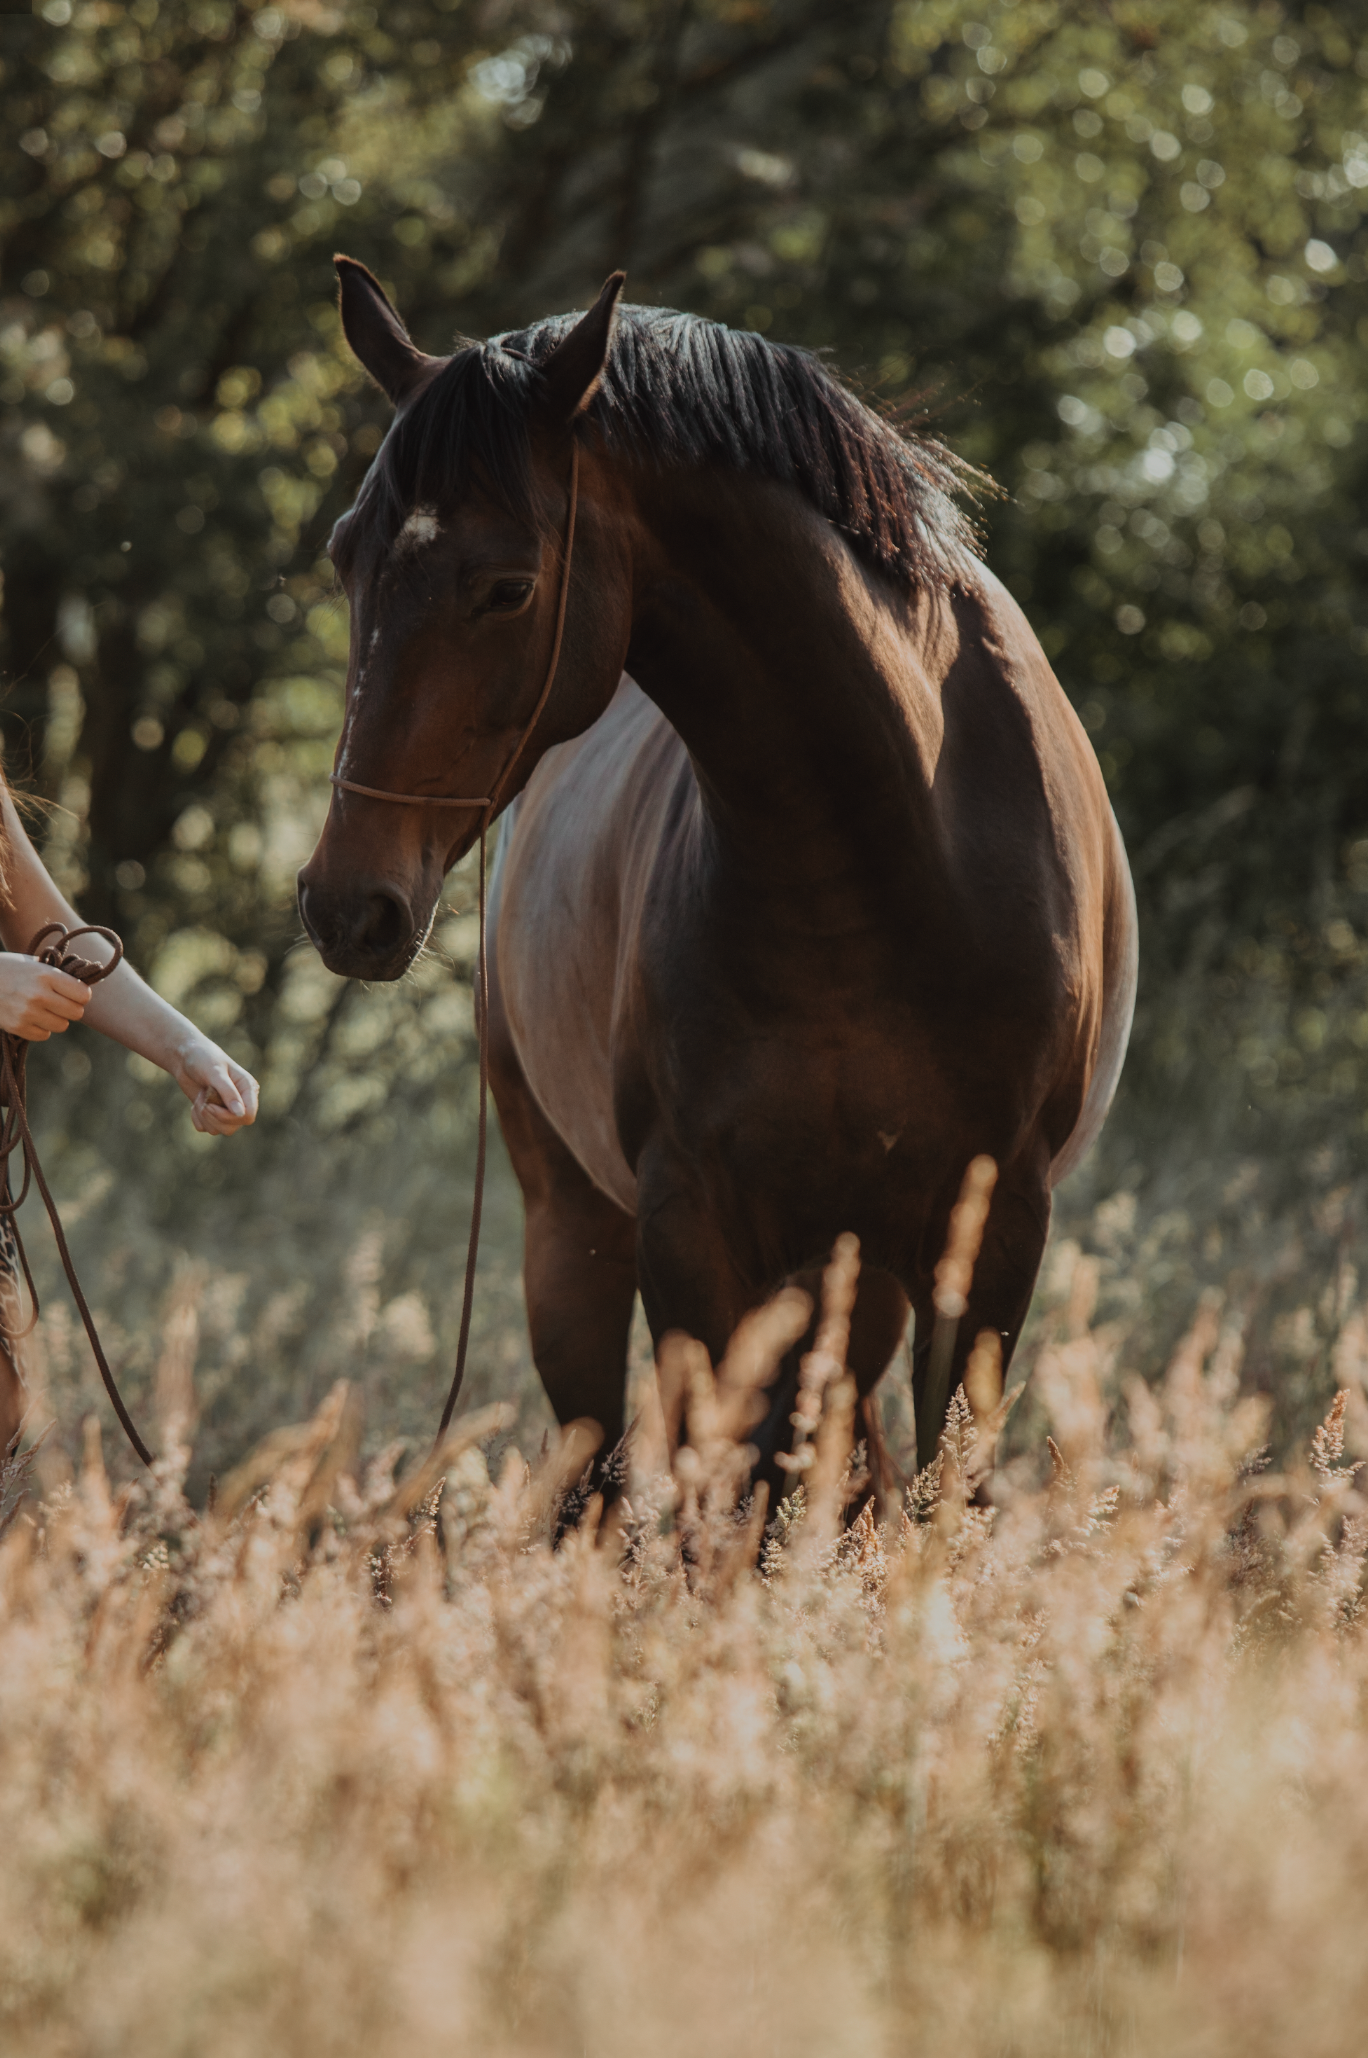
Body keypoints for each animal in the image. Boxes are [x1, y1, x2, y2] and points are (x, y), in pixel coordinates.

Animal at [298, 259, 1137, 1496]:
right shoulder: (686, 1228)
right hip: (576, 1238)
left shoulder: (990, 1237)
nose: (345, 904)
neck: (889, 859)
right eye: (347, 555)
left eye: (506, 588)